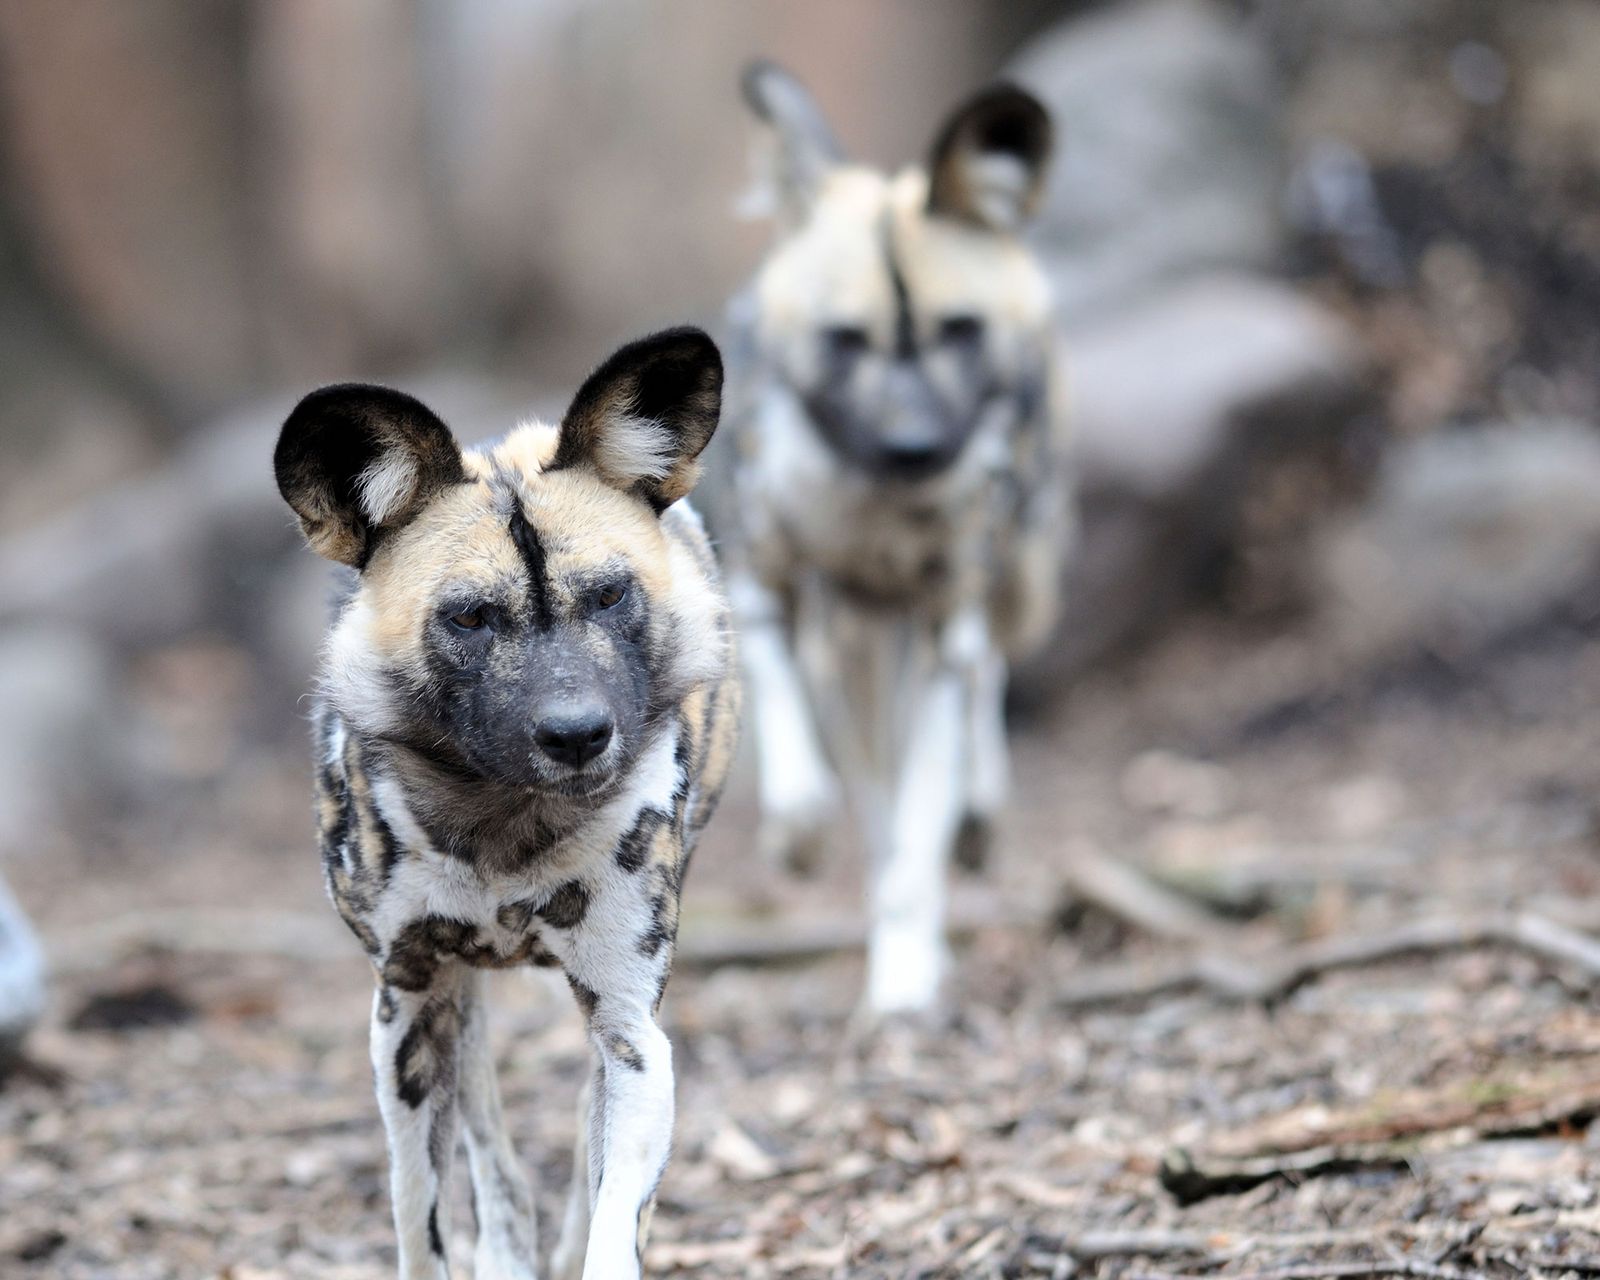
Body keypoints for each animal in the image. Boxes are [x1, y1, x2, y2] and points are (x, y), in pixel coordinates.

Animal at [276, 329, 742, 1280]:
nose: (578, 734)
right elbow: (419, 1220)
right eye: (470, 617)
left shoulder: (630, 1023)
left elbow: (613, 1222)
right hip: (449, 1002)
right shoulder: (406, 1006)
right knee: (488, 1136)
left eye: (610, 594)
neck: (503, 822)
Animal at [726, 64, 1075, 1017]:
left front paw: (906, 984)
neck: (876, 513)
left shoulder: (945, 622)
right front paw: (798, 833)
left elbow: (920, 836)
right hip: (858, 640)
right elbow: (830, 788)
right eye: (845, 341)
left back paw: (981, 813)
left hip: (995, 584)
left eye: (959, 329)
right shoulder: (770, 589)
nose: (914, 446)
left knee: (987, 677)